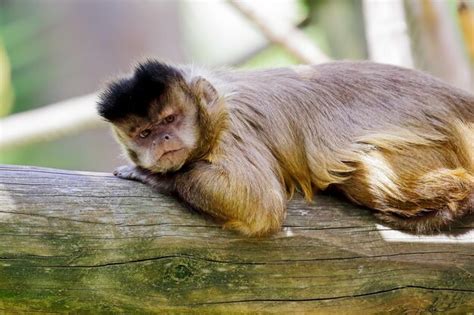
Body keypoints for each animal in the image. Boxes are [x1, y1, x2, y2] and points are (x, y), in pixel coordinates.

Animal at [97, 59, 474, 237]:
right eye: (145, 133)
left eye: (171, 119)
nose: (163, 139)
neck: (216, 109)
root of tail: (459, 104)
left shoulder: (233, 131)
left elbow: (258, 204)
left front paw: (155, 179)